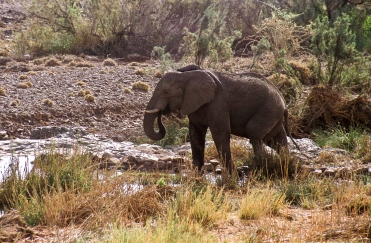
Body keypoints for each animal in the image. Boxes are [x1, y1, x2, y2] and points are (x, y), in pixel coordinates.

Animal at [144, 64, 294, 174]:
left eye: (166, 92)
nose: (161, 113)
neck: (187, 75)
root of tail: (284, 103)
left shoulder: (218, 103)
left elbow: (220, 133)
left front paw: (232, 177)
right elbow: (195, 134)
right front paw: (197, 176)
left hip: (268, 109)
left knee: (254, 133)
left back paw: (261, 167)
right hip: (273, 113)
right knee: (276, 140)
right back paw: (285, 165)